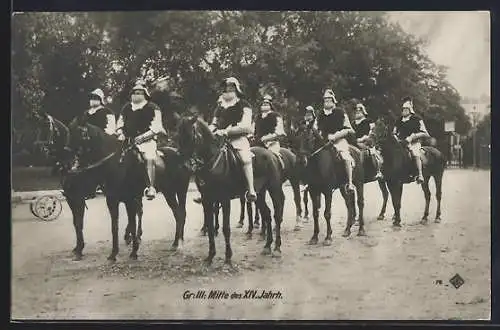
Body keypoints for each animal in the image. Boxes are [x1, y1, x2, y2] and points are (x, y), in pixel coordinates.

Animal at [176, 114, 286, 264]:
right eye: (178, 136)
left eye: (190, 136)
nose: (185, 166)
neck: (213, 162)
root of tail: (272, 154)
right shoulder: (207, 200)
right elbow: (210, 227)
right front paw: (210, 255)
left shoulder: (224, 199)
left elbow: (225, 228)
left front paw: (228, 256)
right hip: (259, 194)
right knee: (267, 214)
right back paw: (267, 246)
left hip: (274, 189)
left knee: (277, 215)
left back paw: (277, 248)